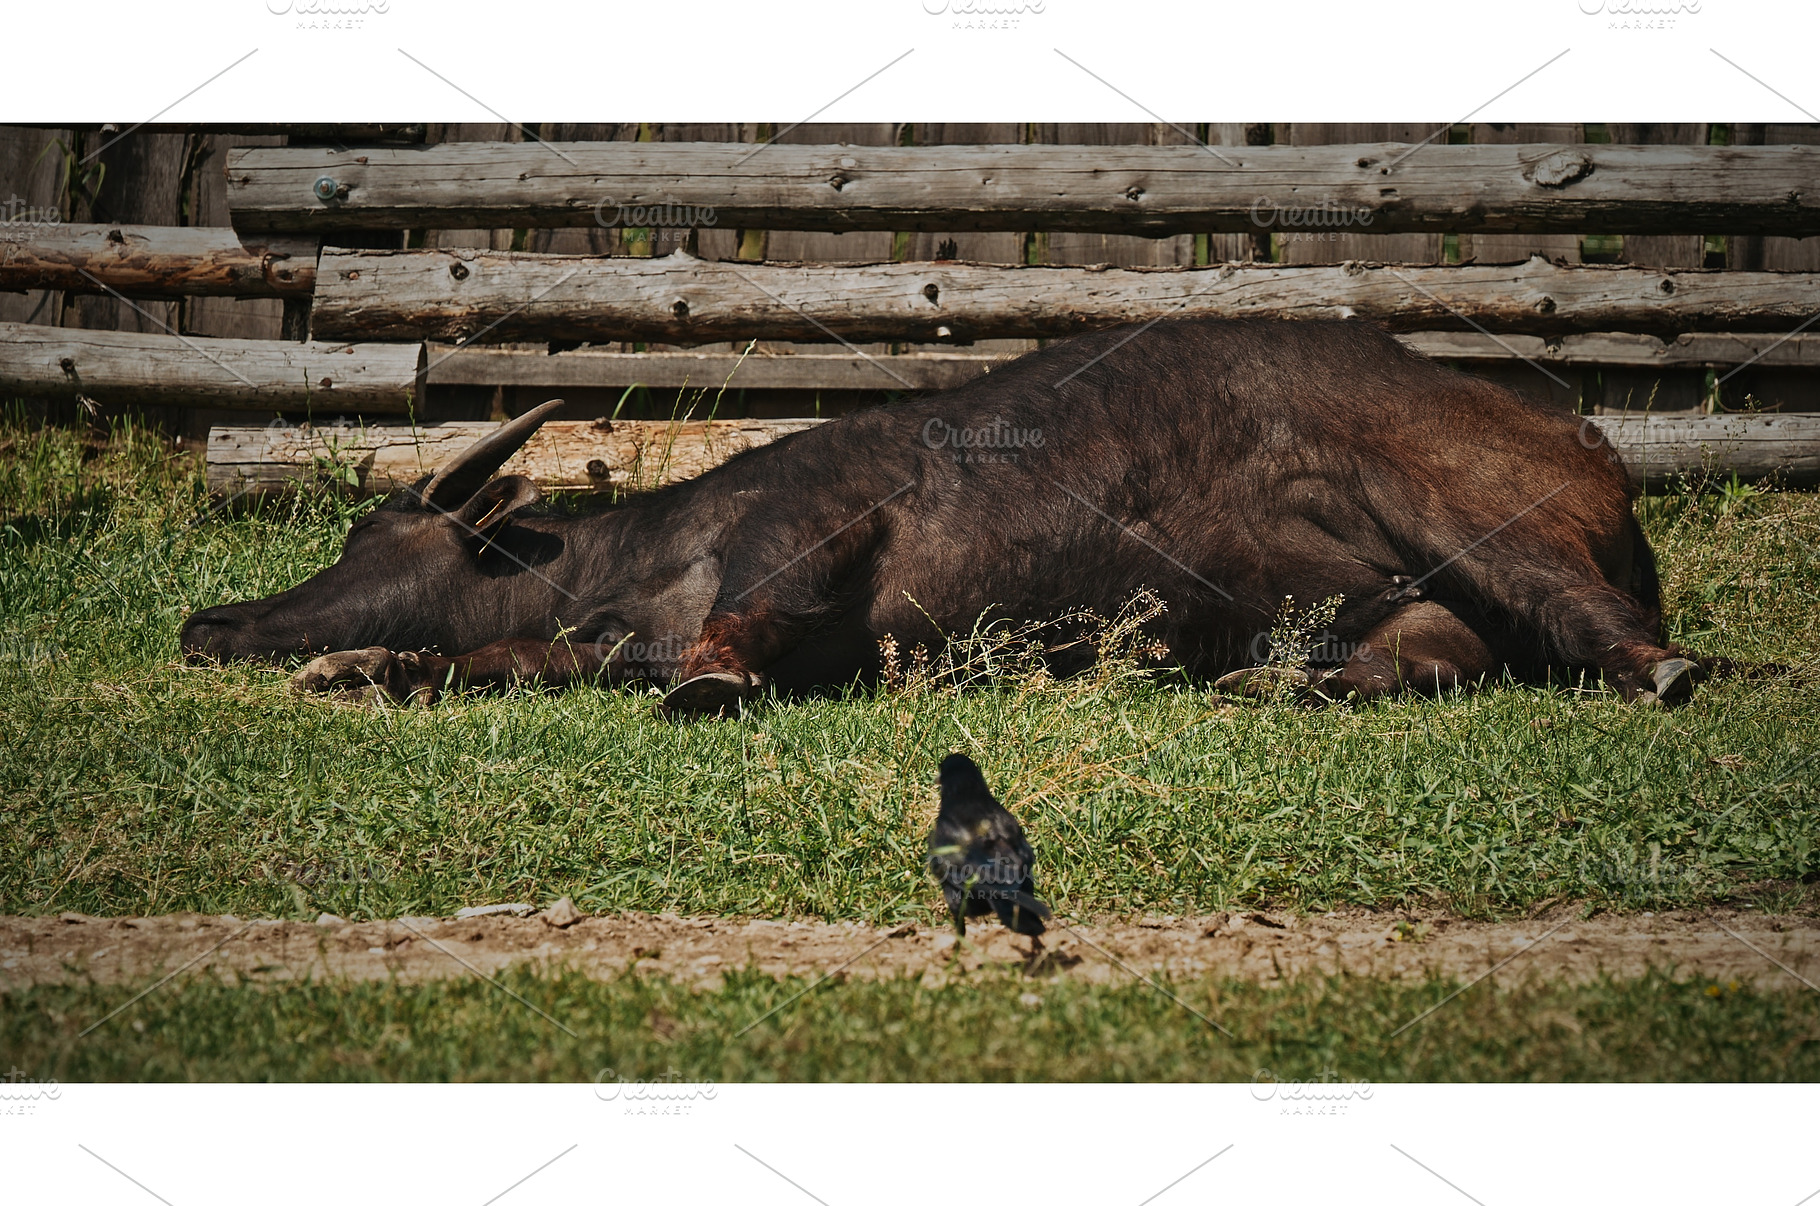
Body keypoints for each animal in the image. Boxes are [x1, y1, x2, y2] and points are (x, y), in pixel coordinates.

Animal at [180, 317, 1706, 713]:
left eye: (374, 539)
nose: (207, 621)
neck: (641, 566)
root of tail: (1576, 429)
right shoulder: (585, 646)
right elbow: (498, 659)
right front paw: (361, 666)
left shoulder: (813, 532)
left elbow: (748, 621)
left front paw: (709, 686)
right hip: (1391, 605)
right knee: (1430, 660)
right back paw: (1275, 691)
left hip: (1470, 519)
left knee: (1580, 622)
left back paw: (1667, 667)